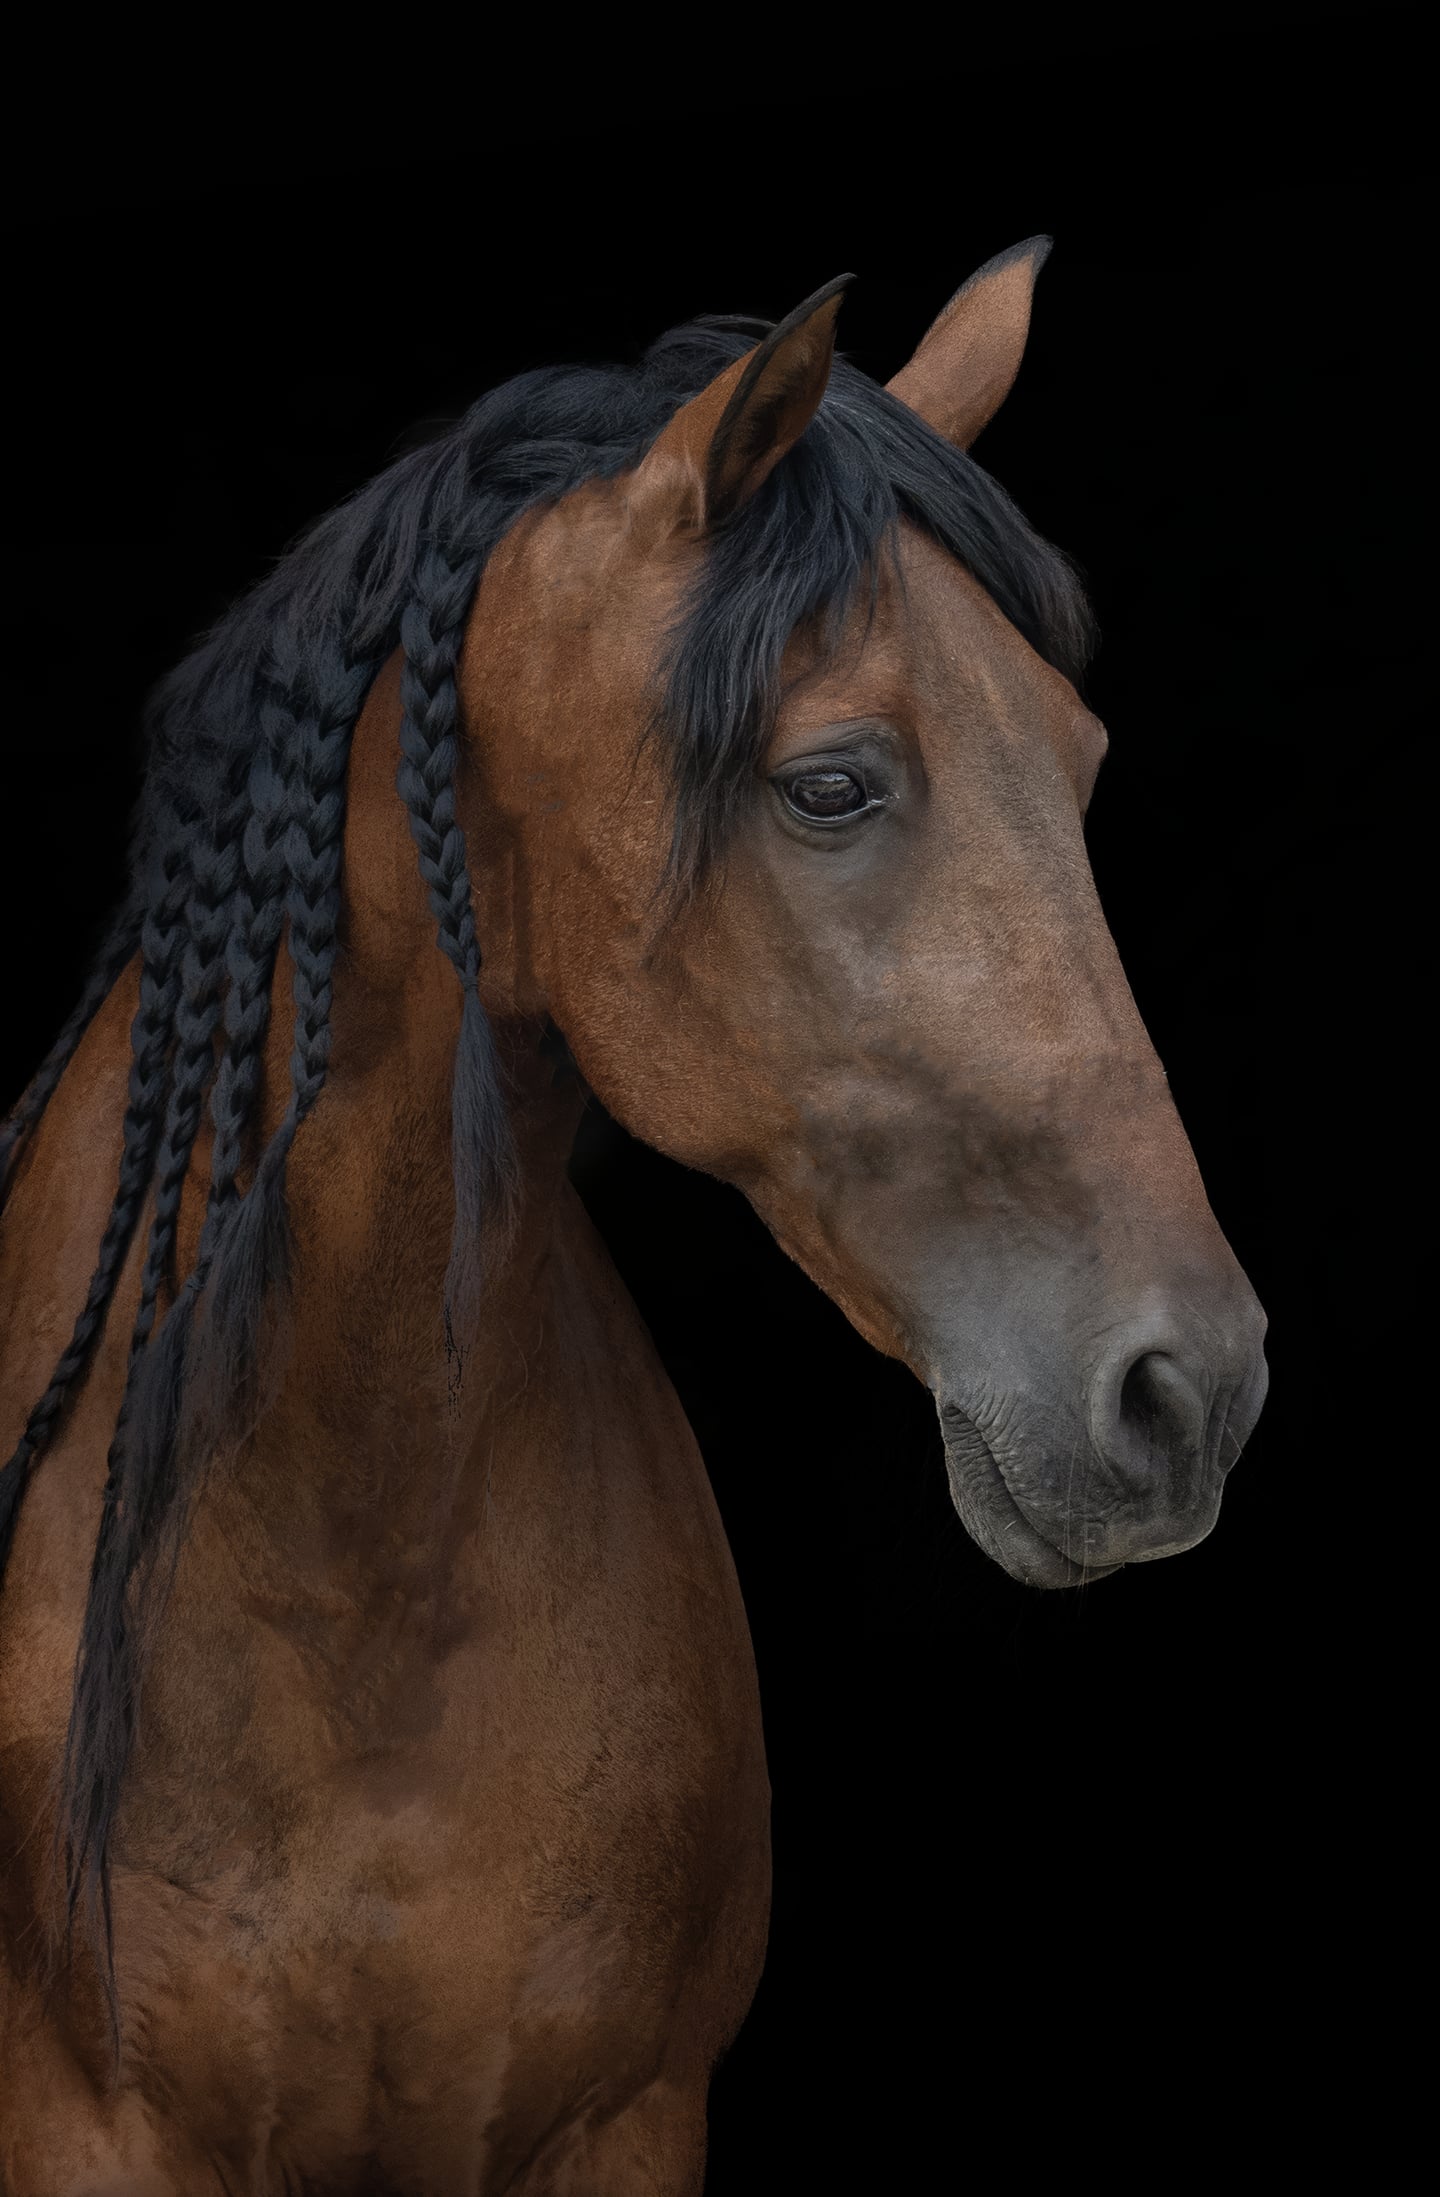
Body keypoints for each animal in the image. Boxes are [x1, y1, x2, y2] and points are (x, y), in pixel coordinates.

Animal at [0, 239, 1268, 2193]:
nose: (1192, 1388)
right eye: (831, 783)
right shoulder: (93, 2129)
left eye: (1078, 758)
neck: (346, 1566)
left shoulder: (619, 2123)